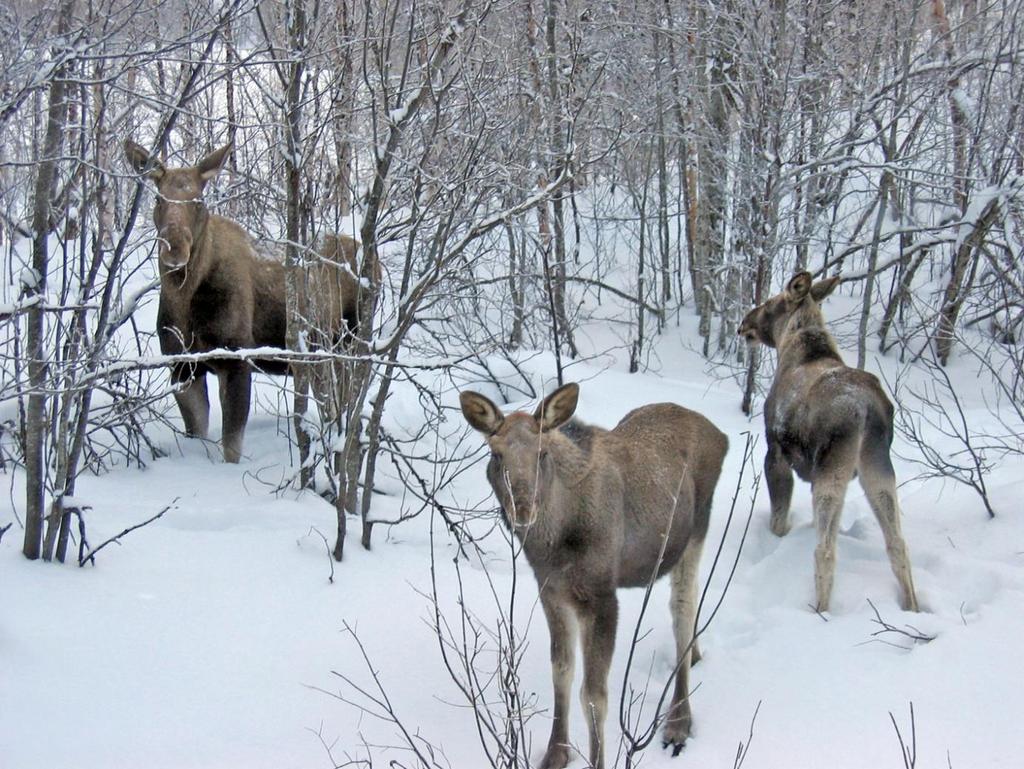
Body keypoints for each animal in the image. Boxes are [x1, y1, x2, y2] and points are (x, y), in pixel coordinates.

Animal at [456, 382, 729, 769]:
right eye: (496, 454)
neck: (553, 544)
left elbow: (594, 695)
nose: (522, 508)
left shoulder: (600, 597)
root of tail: (720, 435)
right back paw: (696, 659)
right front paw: (556, 752)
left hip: (696, 530)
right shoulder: (551, 591)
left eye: (542, 453)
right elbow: (561, 671)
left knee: (684, 609)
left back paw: (679, 720)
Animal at [737, 270, 921, 614]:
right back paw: (912, 606)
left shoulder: (775, 453)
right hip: (878, 468)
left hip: (832, 470)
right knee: (898, 543)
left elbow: (779, 519)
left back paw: (820, 609)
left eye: (770, 302)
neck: (791, 349)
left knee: (825, 549)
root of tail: (866, 410)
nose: (743, 323)